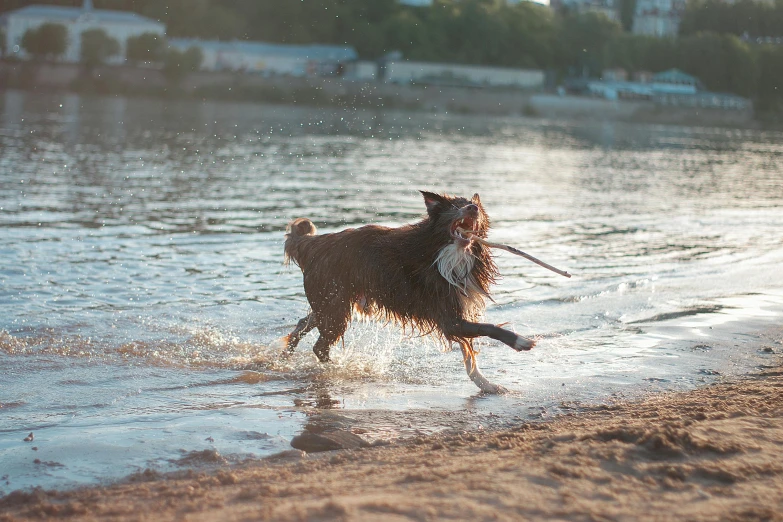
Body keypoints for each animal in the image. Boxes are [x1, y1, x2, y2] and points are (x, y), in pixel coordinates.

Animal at [278, 190, 536, 390]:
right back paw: (336, 369)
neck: (445, 254)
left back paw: (285, 357)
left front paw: (487, 385)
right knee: (319, 346)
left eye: (476, 208)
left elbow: (469, 357)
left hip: (331, 304)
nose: (472, 208)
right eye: (455, 206)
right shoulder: (449, 318)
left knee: (303, 323)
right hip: (334, 307)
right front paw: (520, 341)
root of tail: (314, 244)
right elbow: (487, 328)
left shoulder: (458, 311)